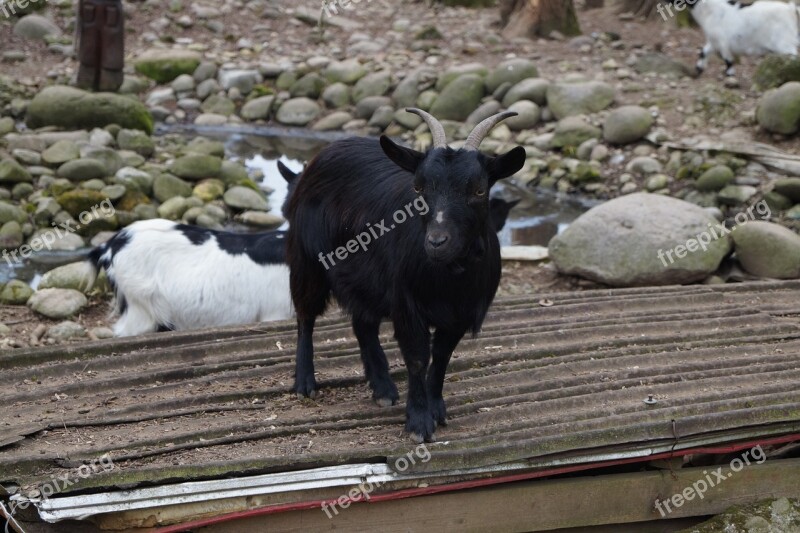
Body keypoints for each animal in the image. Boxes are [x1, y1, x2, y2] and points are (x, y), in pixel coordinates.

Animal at [286, 108, 524, 440]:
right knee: (305, 316)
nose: (436, 241)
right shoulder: (407, 305)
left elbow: (441, 358)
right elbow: (417, 358)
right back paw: (305, 383)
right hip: (308, 260)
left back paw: (383, 388)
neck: (449, 278)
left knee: (363, 323)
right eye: (418, 188)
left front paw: (437, 409)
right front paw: (419, 422)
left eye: (479, 190)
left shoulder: (459, 313)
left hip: (363, 278)